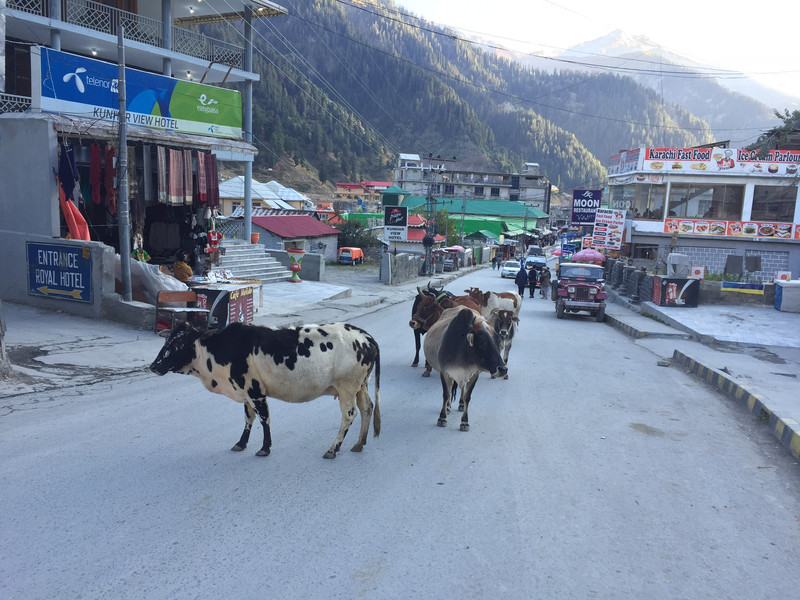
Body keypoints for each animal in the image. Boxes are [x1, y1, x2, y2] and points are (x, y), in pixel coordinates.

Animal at [149, 324, 382, 460]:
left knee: (349, 414)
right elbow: (248, 418)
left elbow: (264, 419)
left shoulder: (255, 391)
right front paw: (241, 443)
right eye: (167, 340)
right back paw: (359, 444)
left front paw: (265, 448)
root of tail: (366, 336)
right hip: (361, 386)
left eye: (180, 342)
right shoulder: (244, 391)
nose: (154, 366)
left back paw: (333, 449)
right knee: (367, 408)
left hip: (347, 388)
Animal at [418, 304, 506, 432]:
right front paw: (442, 418)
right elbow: (446, 394)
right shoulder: (445, 372)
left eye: (498, 342)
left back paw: (461, 404)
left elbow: (467, 397)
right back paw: (448, 407)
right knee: (450, 389)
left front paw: (464, 422)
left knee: (462, 390)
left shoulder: (474, 373)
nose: (503, 369)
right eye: (483, 342)